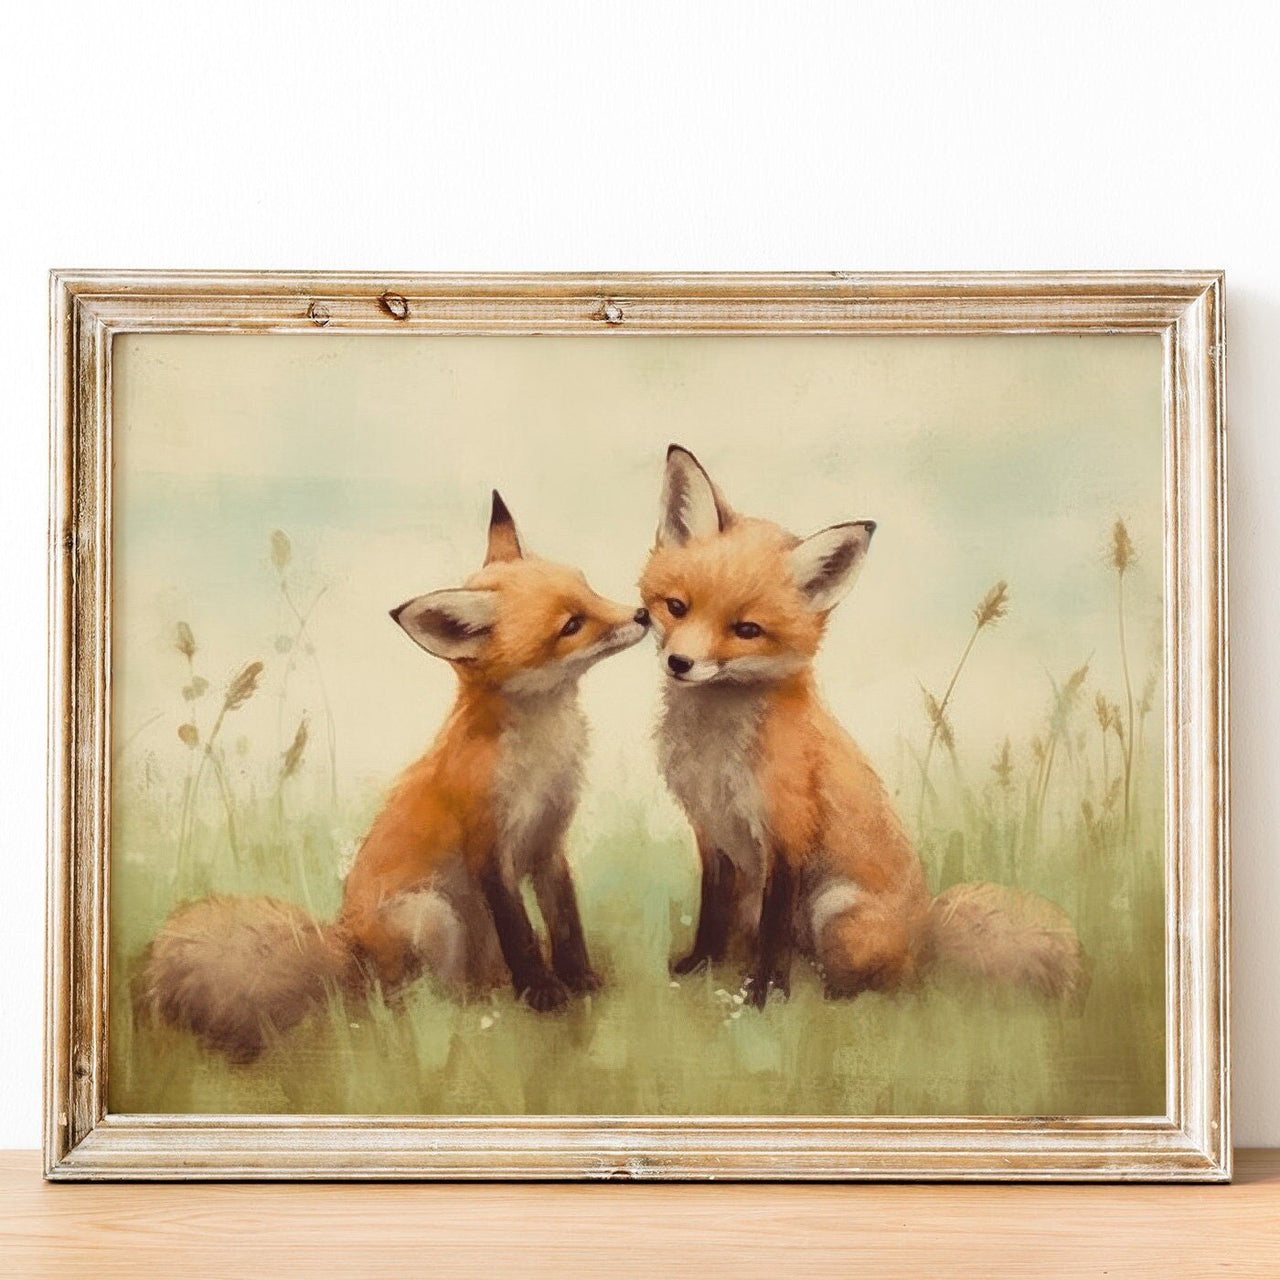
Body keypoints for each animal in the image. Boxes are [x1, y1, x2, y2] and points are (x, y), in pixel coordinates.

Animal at [141, 492, 649, 1060]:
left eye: (588, 586)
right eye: (571, 625)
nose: (644, 614)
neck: (542, 756)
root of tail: (349, 954)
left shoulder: (550, 841)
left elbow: (565, 924)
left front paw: (581, 982)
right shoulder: (490, 849)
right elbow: (520, 933)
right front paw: (544, 994)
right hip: (433, 916)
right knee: (419, 1006)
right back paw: (476, 1011)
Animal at [640, 445, 1085, 1010]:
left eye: (746, 630)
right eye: (677, 606)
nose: (680, 663)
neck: (714, 756)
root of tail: (925, 942)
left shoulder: (788, 834)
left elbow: (774, 932)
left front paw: (763, 998)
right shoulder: (711, 833)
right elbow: (710, 916)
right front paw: (698, 968)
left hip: (835, 912)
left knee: (883, 987)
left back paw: (829, 995)